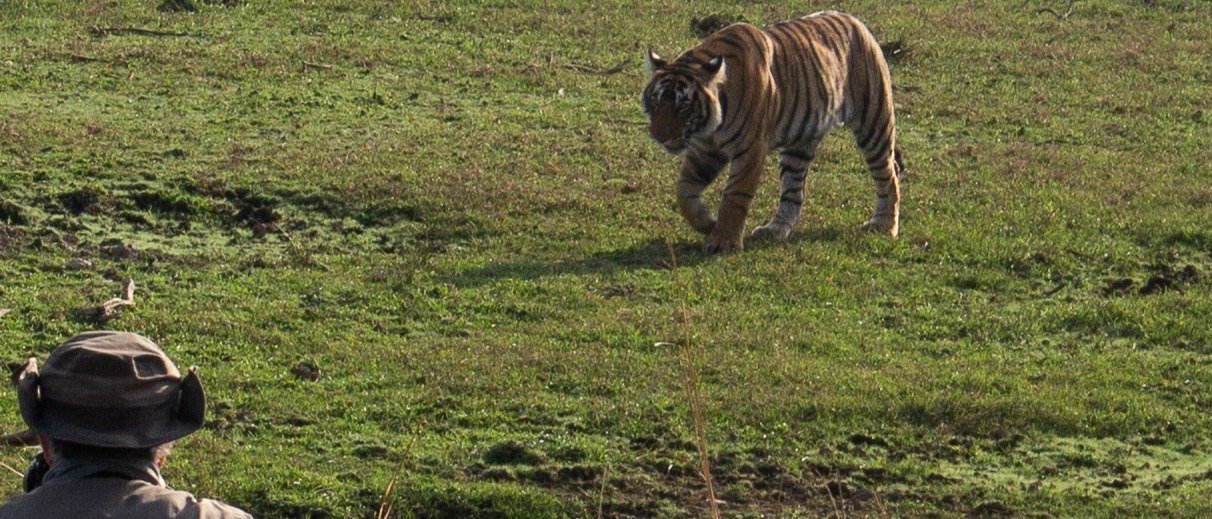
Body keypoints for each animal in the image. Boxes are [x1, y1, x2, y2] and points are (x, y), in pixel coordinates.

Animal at [641, 11, 904, 253]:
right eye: (656, 101)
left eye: (683, 106)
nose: (659, 136)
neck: (710, 127)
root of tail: (854, 20)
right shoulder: (705, 150)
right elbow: (684, 192)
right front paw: (708, 223)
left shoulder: (749, 149)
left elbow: (735, 195)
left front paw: (723, 241)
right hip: (799, 144)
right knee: (793, 192)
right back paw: (774, 230)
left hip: (873, 122)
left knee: (887, 174)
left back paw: (884, 226)